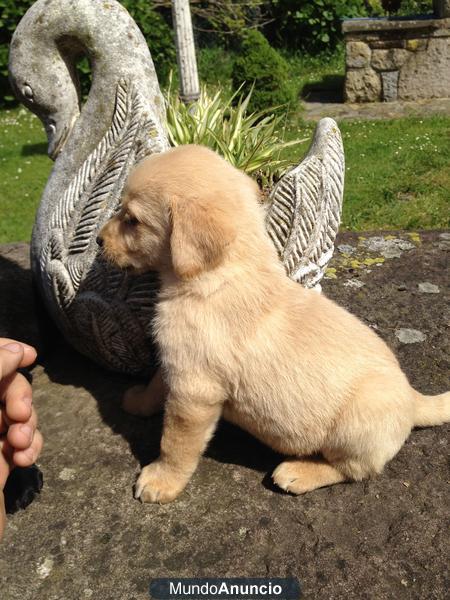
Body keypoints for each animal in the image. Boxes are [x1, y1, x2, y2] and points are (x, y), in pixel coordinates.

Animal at [98, 144, 450, 502]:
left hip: (356, 424)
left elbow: (175, 443)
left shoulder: (194, 391)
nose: (98, 241)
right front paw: (138, 401)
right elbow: (157, 384)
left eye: (131, 220)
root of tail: (413, 399)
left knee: (355, 469)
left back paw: (298, 472)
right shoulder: (178, 363)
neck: (220, 276)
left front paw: (161, 480)